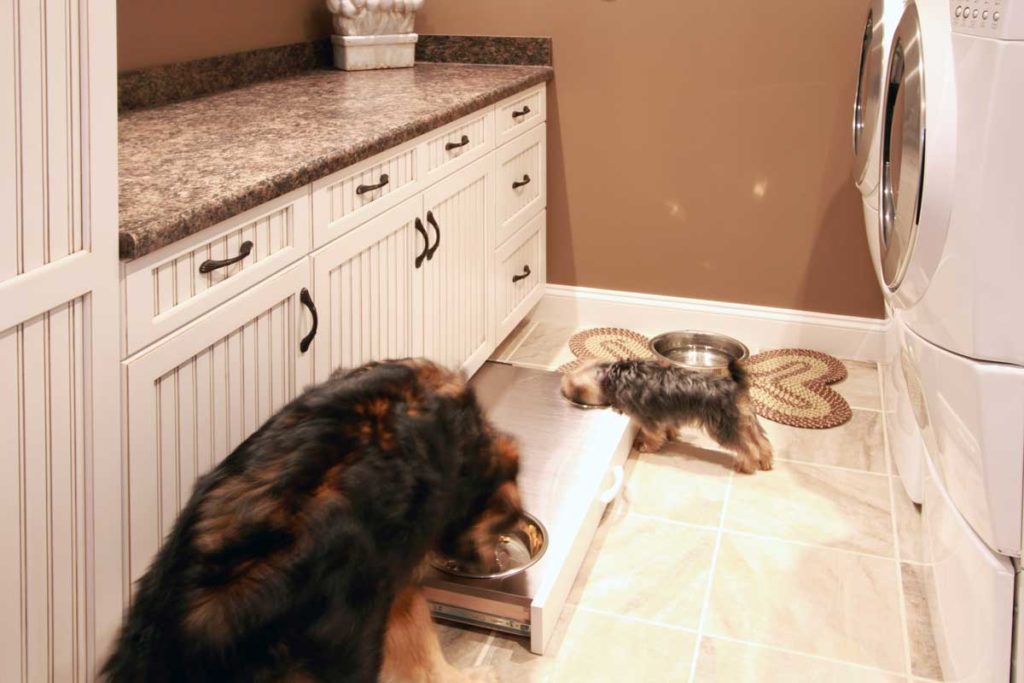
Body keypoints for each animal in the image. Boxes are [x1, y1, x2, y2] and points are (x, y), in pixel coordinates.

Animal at [565, 358, 770, 475]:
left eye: (572, 389)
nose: (562, 391)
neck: (613, 375)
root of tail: (736, 387)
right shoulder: (665, 414)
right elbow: (668, 427)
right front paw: (671, 435)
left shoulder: (646, 416)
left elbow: (652, 434)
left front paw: (646, 446)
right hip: (745, 419)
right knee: (761, 441)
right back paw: (766, 461)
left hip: (723, 426)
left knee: (748, 446)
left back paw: (746, 466)